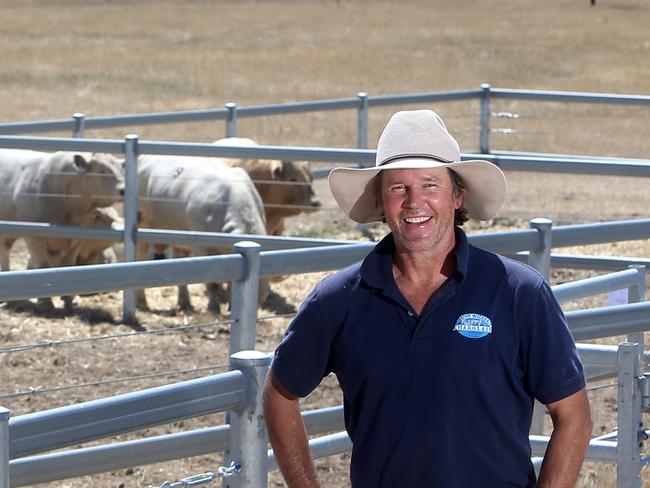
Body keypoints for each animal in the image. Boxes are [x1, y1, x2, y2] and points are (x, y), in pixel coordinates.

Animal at [137, 153, 268, 312]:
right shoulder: (201, 248)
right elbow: (212, 284)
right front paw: (213, 307)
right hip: (142, 223)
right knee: (141, 256)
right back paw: (142, 301)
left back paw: (184, 302)